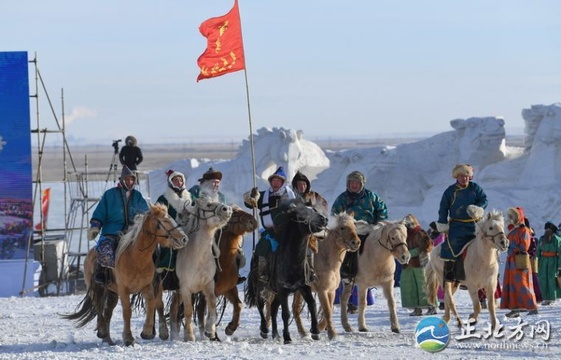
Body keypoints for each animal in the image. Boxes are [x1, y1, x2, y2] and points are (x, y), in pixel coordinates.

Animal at [62, 202, 187, 346]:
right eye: (165, 220)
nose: (184, 239)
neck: (136, 259)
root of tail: (90, 254)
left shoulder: (147, 286)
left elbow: (152, 302)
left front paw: (147, 332)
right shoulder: (123, 289)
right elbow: (127, 311)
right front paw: (128, 338)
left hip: (112, 293)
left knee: (107, 312)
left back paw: (108, 339)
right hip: (96, 288)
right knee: (98, 306)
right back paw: (102, 331)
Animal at [166, 197, 232, 340]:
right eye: (209, 204)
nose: (228, 209)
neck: (198, 257)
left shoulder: (208, 285)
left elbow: (212, 304)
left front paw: (210, 331)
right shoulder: (185, 288)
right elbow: (188, 311)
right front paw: (190, 336)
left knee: (173, 308)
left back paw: (174, 335)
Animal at [194, 205, 258, 338]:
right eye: (234, 213)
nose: (253, 222)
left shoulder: (228, 288)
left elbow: (238, 304)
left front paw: (230, 328)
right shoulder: (206, 291)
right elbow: (205, 310)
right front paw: (209, 333)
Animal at [245, 200, 328, 344]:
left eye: (314, 210)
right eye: (302, 215)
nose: (324, 219)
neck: (292, 262)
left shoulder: (304, 286)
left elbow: (312, 304)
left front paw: (315, 332)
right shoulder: (283, 290)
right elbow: (286, 313)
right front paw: (287, 337)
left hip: (276, 292)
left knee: (273, 308)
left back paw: (276, 334)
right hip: (261, 285)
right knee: (260, 303)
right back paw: (264, 330)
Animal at [290, 212, 360, 342]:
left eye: (354, 226)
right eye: (342, 227)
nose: (356, 242)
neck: (326, 258)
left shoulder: (331, 291)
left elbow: (330, 309)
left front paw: (318, 329)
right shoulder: (322, 291)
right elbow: (327, 310)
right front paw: (332, 334)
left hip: (299, 291)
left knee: (295, 308)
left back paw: (303, 333)